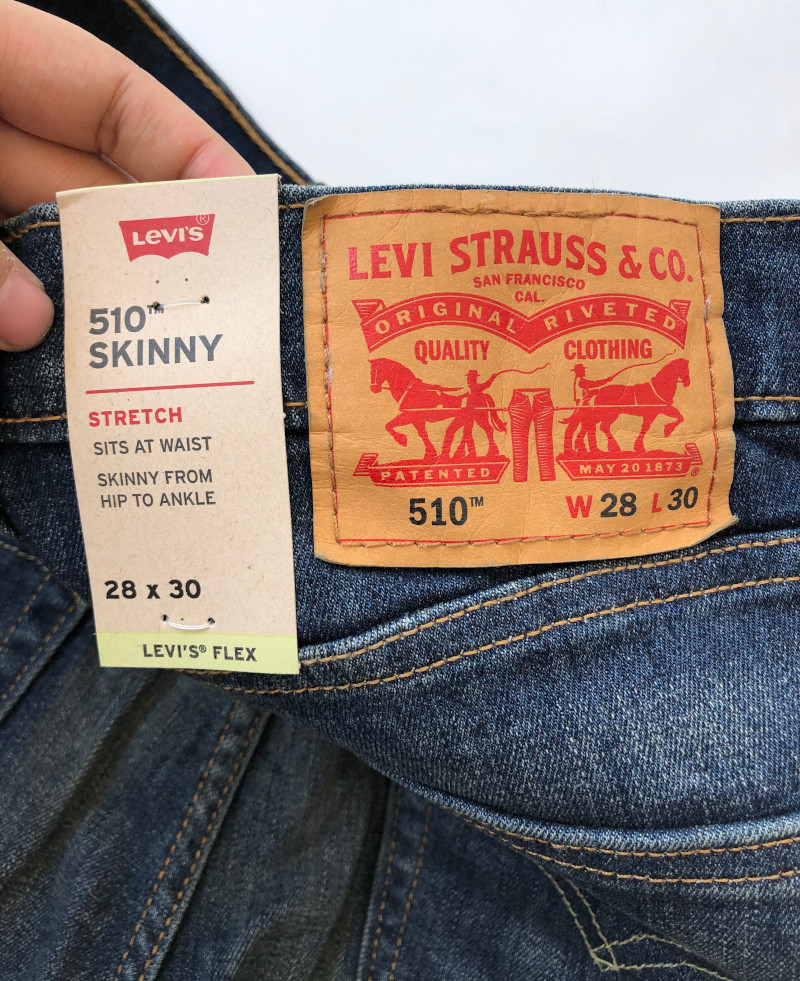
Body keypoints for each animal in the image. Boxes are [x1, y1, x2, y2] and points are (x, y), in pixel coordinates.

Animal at [562, 358, 690, 456]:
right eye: (684, 369)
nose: (687, 383)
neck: (659, 387)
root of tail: (599, 391)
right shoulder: (653, 413)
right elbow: (676, 418)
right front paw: (667, 430)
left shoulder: (659, 411)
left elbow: (678, 416)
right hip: (609, 413)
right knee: (598, 425)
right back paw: (609, 448)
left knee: (590, 425)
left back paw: (588, 448)